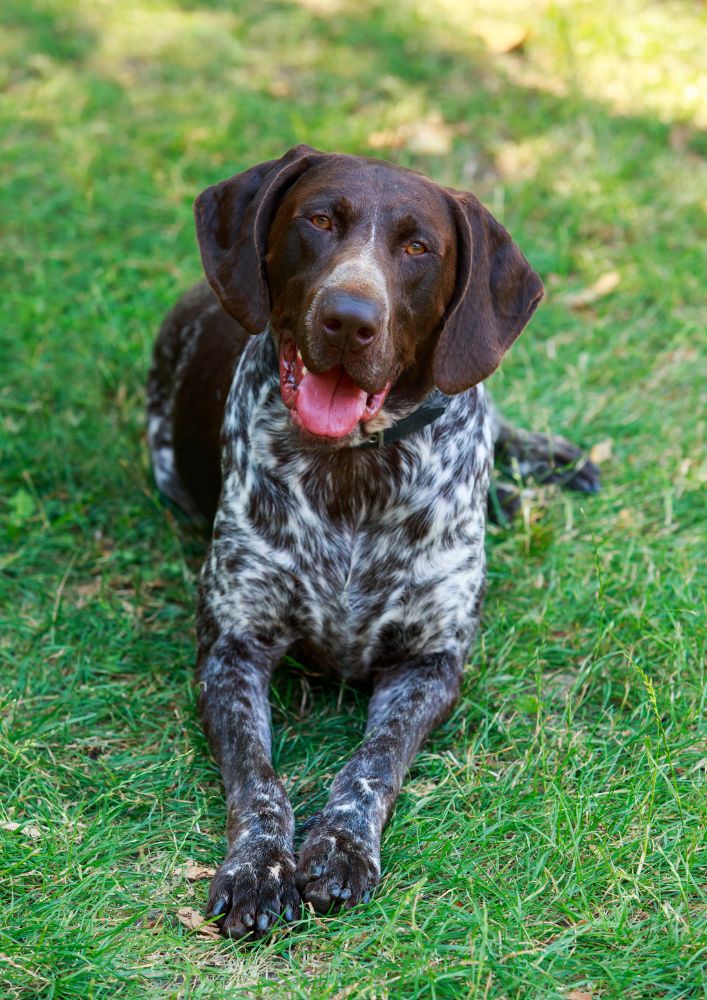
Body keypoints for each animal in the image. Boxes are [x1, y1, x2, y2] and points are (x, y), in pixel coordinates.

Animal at [147, 143, 600, 936]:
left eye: (419, 248)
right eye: (319, 221)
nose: (348, 318)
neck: (354, 469)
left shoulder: (430, 663)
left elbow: (371, 764)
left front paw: (341, 846)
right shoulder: (231, 652)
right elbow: (259, 782)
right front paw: (260, 867)